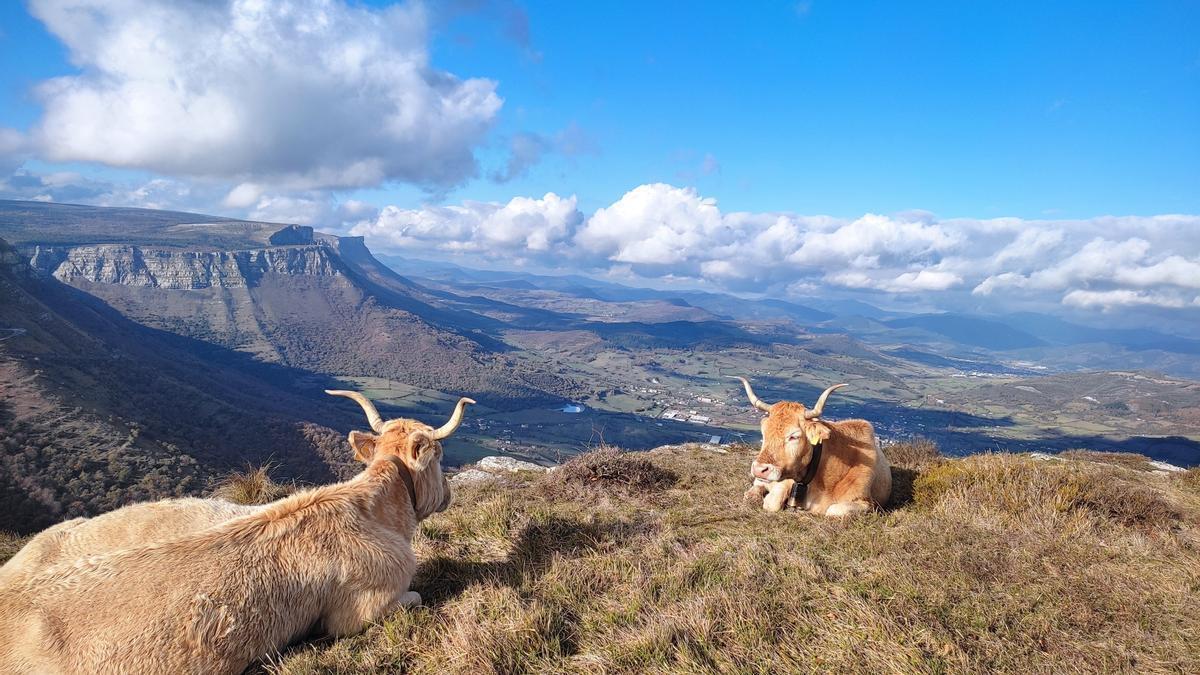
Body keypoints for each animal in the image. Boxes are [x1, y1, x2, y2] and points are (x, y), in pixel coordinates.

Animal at [729, 372, 892, 514]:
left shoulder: (866, 502)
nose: (759, 469)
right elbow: (771, 503)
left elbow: (833, 510)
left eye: (794, 436)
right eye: (764, 432)